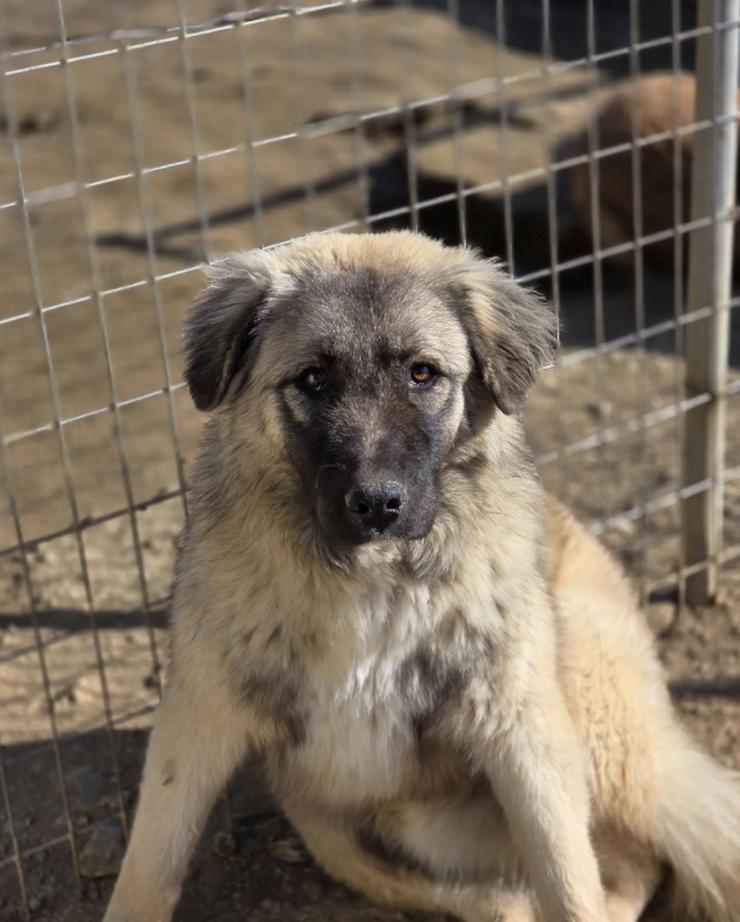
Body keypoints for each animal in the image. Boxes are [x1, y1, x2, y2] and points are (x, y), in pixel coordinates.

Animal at [102, 232, 740, 920]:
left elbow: (570, 879)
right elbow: (147, 868)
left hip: (593, 724)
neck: (372, 583)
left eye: (423, 373)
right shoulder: (199, 717)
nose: (378, 504)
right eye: (313, 379)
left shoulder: (523, 728)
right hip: (354, 825)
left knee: (638, 862)